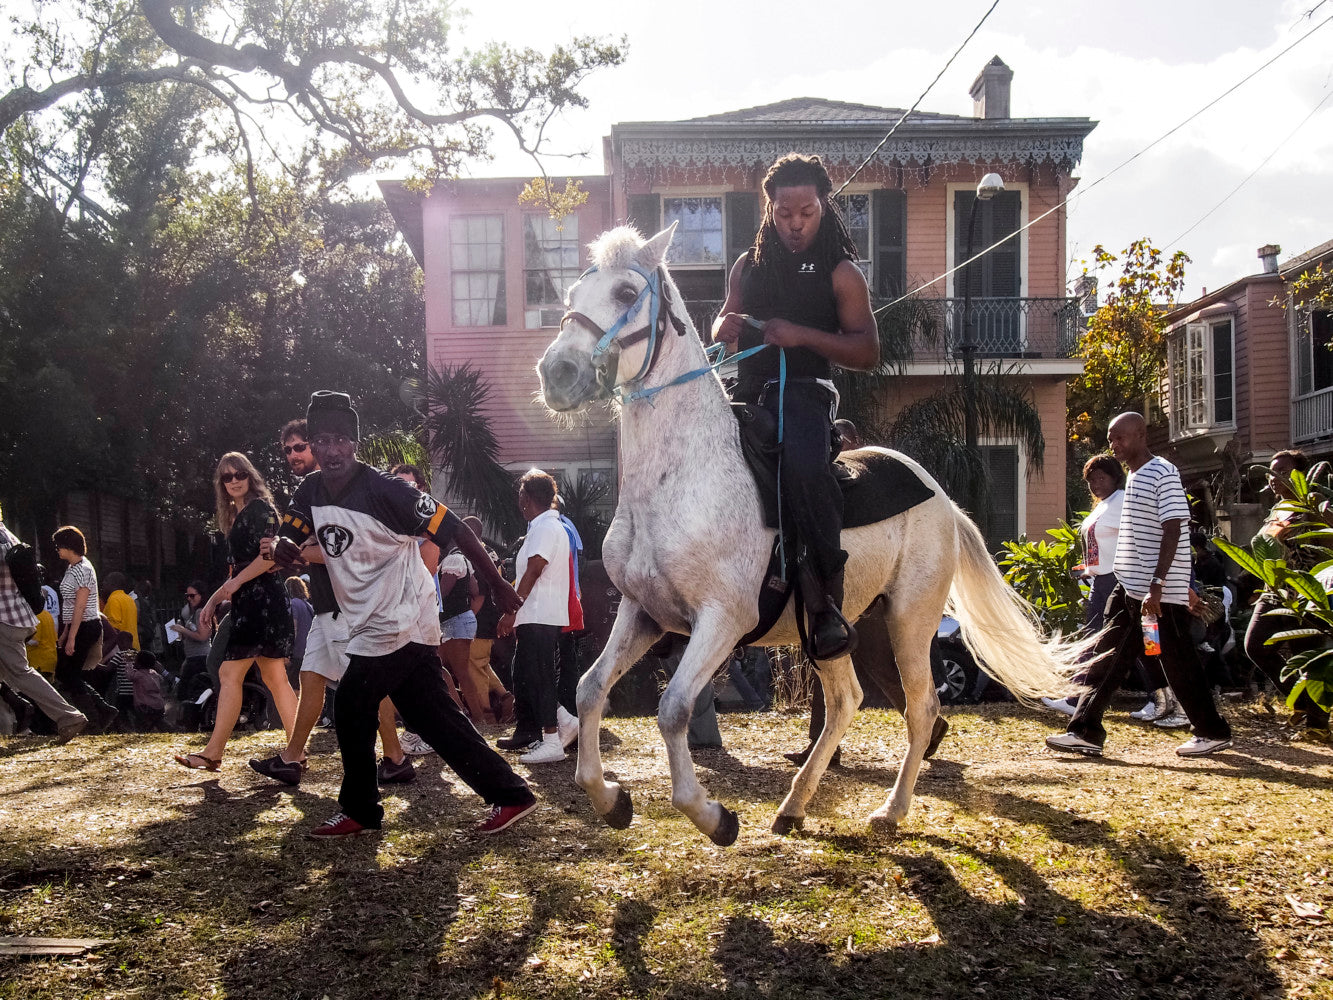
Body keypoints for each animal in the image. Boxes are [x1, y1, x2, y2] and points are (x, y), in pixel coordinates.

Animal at [535, 225, 1077, 848]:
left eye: (626, 293)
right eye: (573, 291)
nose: (557, 374)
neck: (682, 477)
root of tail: (943, 499)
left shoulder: (723, 619)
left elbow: (672, 710)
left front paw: (713, 816)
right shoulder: (644, 613)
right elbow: (589, 688)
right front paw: (610, 799)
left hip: (909, 619)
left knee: (920, 708)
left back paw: (890, 810)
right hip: (843, 629)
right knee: (847, 701)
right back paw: (794, 805)